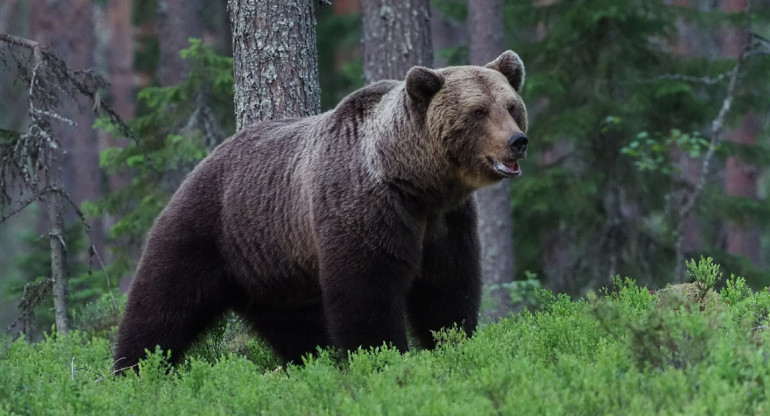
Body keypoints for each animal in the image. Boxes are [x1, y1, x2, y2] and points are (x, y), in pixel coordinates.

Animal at [114, 49, 528, 370]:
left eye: (511, 106)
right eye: (478, 111)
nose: (517, 141)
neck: (417, 182)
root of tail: (205, 159)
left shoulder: (446, 222)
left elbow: (447, 288)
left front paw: (452, 342)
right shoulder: (365, 207)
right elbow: (367, 291)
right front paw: (382, 356)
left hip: (272, 267)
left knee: (295, 326)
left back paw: (310, 361)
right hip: (208, 227)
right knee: (163, 302)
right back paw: (135, 368)